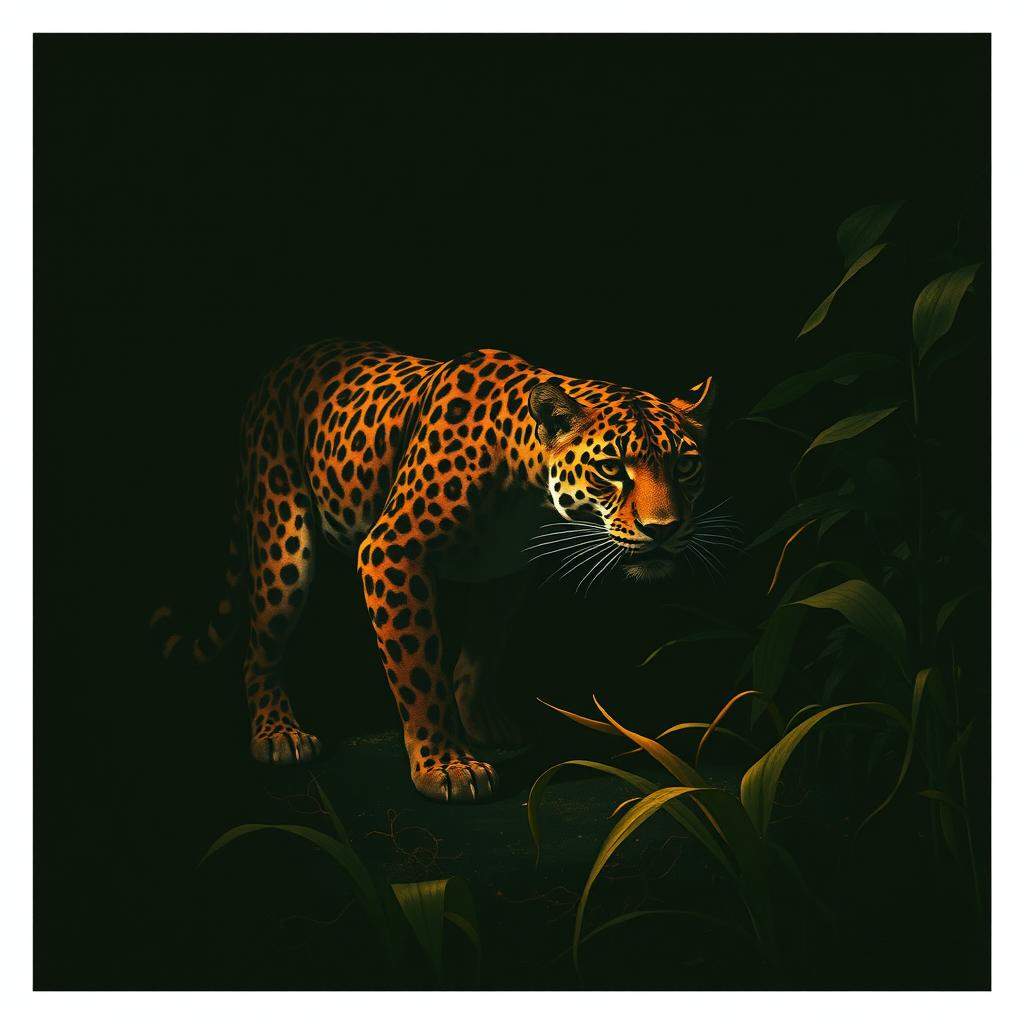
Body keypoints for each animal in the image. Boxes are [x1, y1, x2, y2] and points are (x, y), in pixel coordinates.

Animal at [150, 339, 716, 802]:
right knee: (260, 646)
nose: (664, 529)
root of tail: (279, 366)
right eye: (612, 468)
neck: (524, 484)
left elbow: (483, 649)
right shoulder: (392, 551)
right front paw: (446, 766)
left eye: (685, 466)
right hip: (283, 541)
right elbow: (419, 670)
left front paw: (482, 720)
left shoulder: (506, 572)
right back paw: (277, 734)